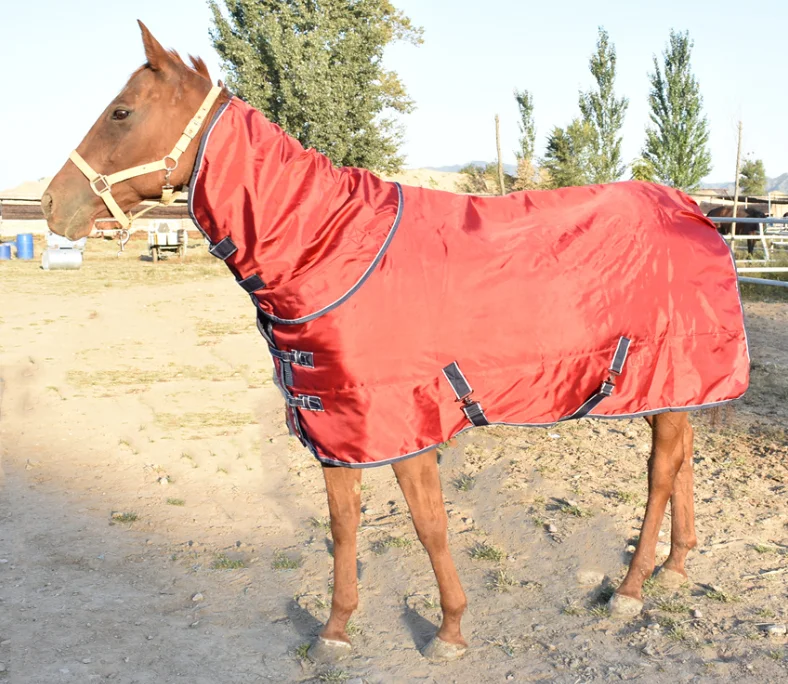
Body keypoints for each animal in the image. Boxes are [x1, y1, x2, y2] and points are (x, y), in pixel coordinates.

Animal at [42, 22, 749, 662]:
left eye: (121, 112)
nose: (51, 205)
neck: (331, 249)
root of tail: (696, 209)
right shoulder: (335, 424)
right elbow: (343, 525)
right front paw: (335, 630)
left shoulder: (407, 420)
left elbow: (430, 526)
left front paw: (450, 630)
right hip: (670, 388)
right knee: (681, 462)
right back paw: (675, 569)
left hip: (664, 372)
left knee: (660, 473)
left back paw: (630, 588)